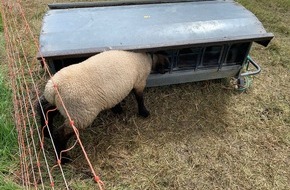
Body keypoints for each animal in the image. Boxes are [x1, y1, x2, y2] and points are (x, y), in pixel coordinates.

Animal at [37, 49, 169, 163]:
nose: (165, 71)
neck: (147, 58)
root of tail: (53, 88)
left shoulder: (117, 91)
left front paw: (118, 109)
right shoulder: (140, 82)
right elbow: (140, 98)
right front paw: (144, 112)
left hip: (64, 106)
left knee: (45, 109)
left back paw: (46, 133)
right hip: (79, 114)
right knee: (60, 134)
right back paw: (64, 159)